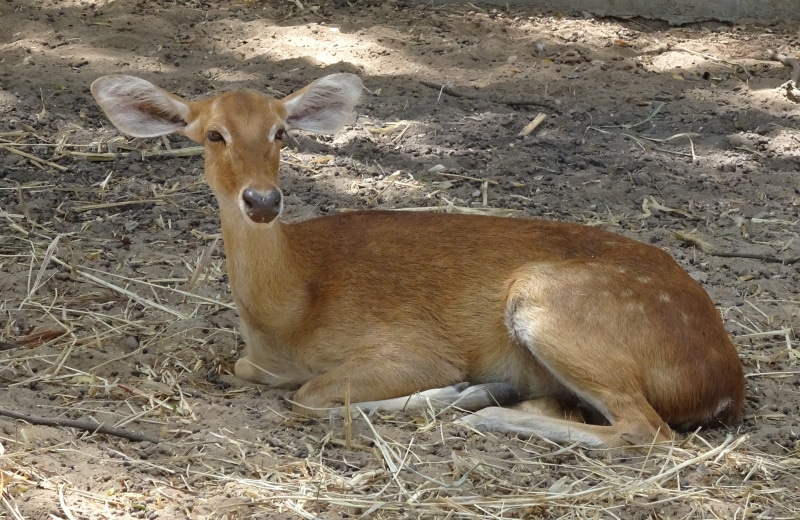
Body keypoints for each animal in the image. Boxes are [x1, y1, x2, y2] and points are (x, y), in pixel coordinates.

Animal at [90, 73, 745, 448]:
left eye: (282, 132)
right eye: (212, 134)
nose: (263, 200)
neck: (289, 309)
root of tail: (725, 383)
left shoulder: (411, 346)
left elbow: (313, 396)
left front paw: (460, 393)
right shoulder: (253, 362)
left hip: (551, 306)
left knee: (646, 430)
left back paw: (482, 410)